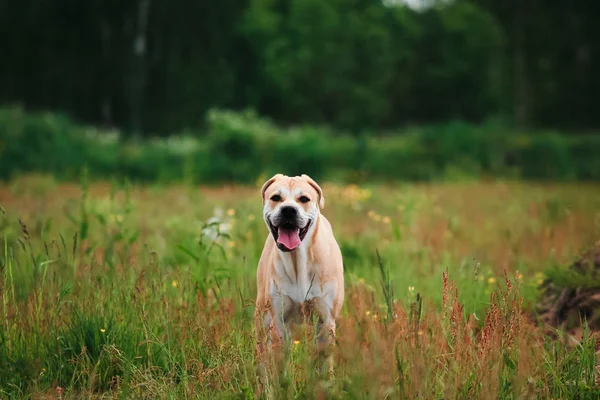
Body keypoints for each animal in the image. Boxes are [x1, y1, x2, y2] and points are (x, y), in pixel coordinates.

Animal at [254, 173, 344, 358]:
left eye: (304, 199)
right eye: (276, 198)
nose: (288, 209)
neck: (298, 260)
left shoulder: (325, 318)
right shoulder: (279, 320)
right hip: (262, 311)